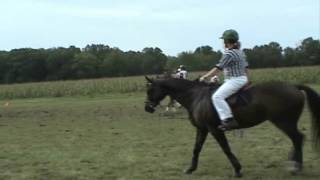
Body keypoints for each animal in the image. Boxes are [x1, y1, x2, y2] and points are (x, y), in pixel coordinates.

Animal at [144, 76, 320, 177]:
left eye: (150, 90)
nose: (147, 108)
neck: (196, 97)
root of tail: (294, 87)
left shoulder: (214, 129)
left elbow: (225, 148)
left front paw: (237, 169)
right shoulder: (202, 128)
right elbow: (196, 148)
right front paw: (190, 169)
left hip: (284, 122)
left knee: (297, 138)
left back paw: (296, 167)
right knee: (297, 139)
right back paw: (294, 163)